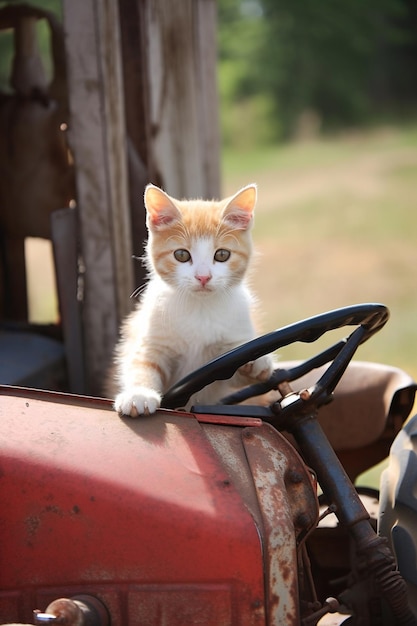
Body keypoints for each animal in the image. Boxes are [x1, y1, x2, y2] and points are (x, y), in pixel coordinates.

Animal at [110, 180, 272, 414]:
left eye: (222, 255)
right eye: (181, 255)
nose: (203, 277)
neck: (199, 308)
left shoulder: (226, 357)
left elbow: (233, 375)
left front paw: (259, 363)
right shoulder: (153, 340)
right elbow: (141, 365)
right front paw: (138, 394)